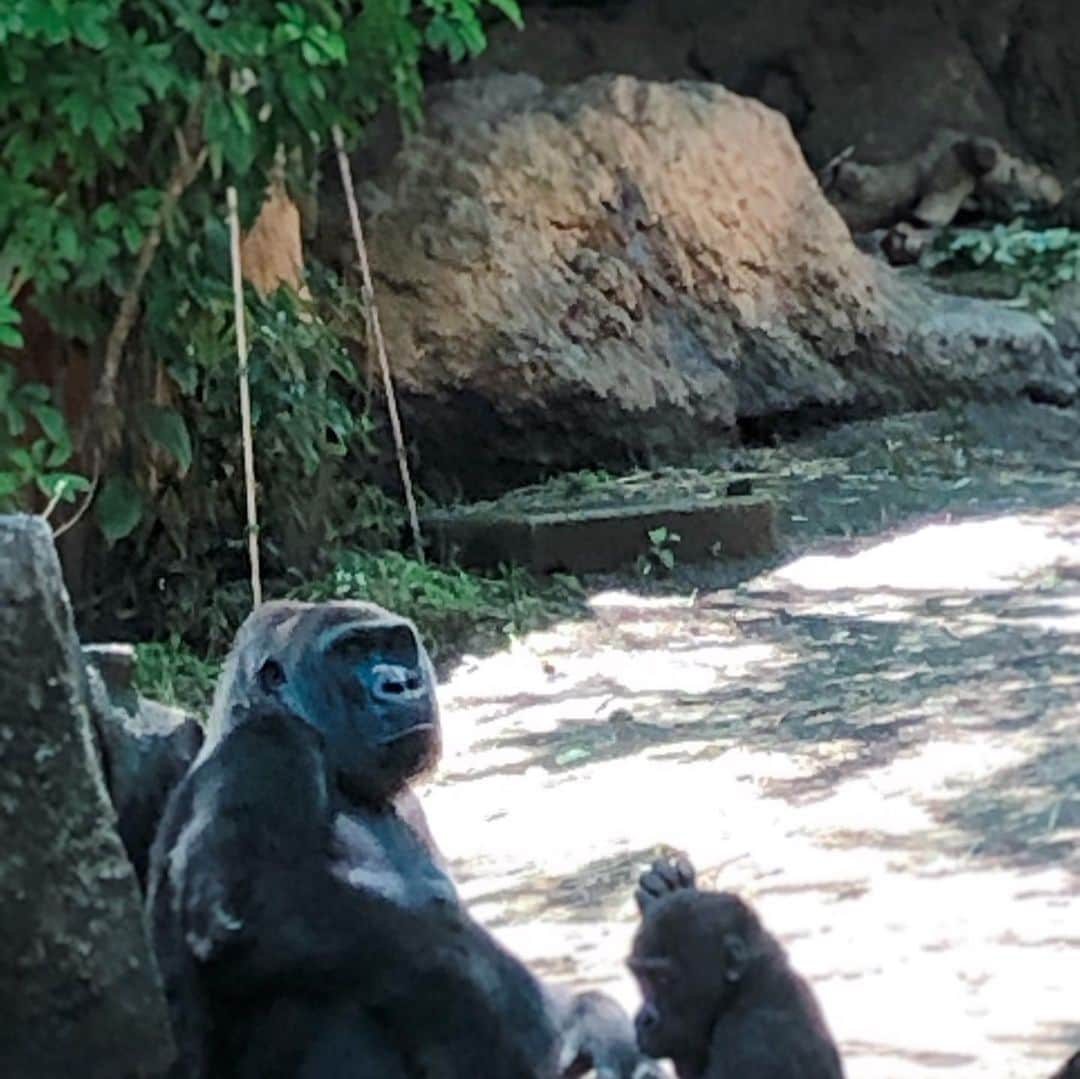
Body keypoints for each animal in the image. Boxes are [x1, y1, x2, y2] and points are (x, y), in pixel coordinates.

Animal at [143, 604, 648, 1079]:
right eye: (351, 651)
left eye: (395, 646)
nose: (401, 684)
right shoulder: (268, 743)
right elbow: (246, 905)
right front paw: (541, 1019)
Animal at [626, 859, 842, 1079]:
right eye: (642, 977)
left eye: (663, 978)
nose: (646, 1018)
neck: (743, 990)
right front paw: (670, 887)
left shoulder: (749, 1043)